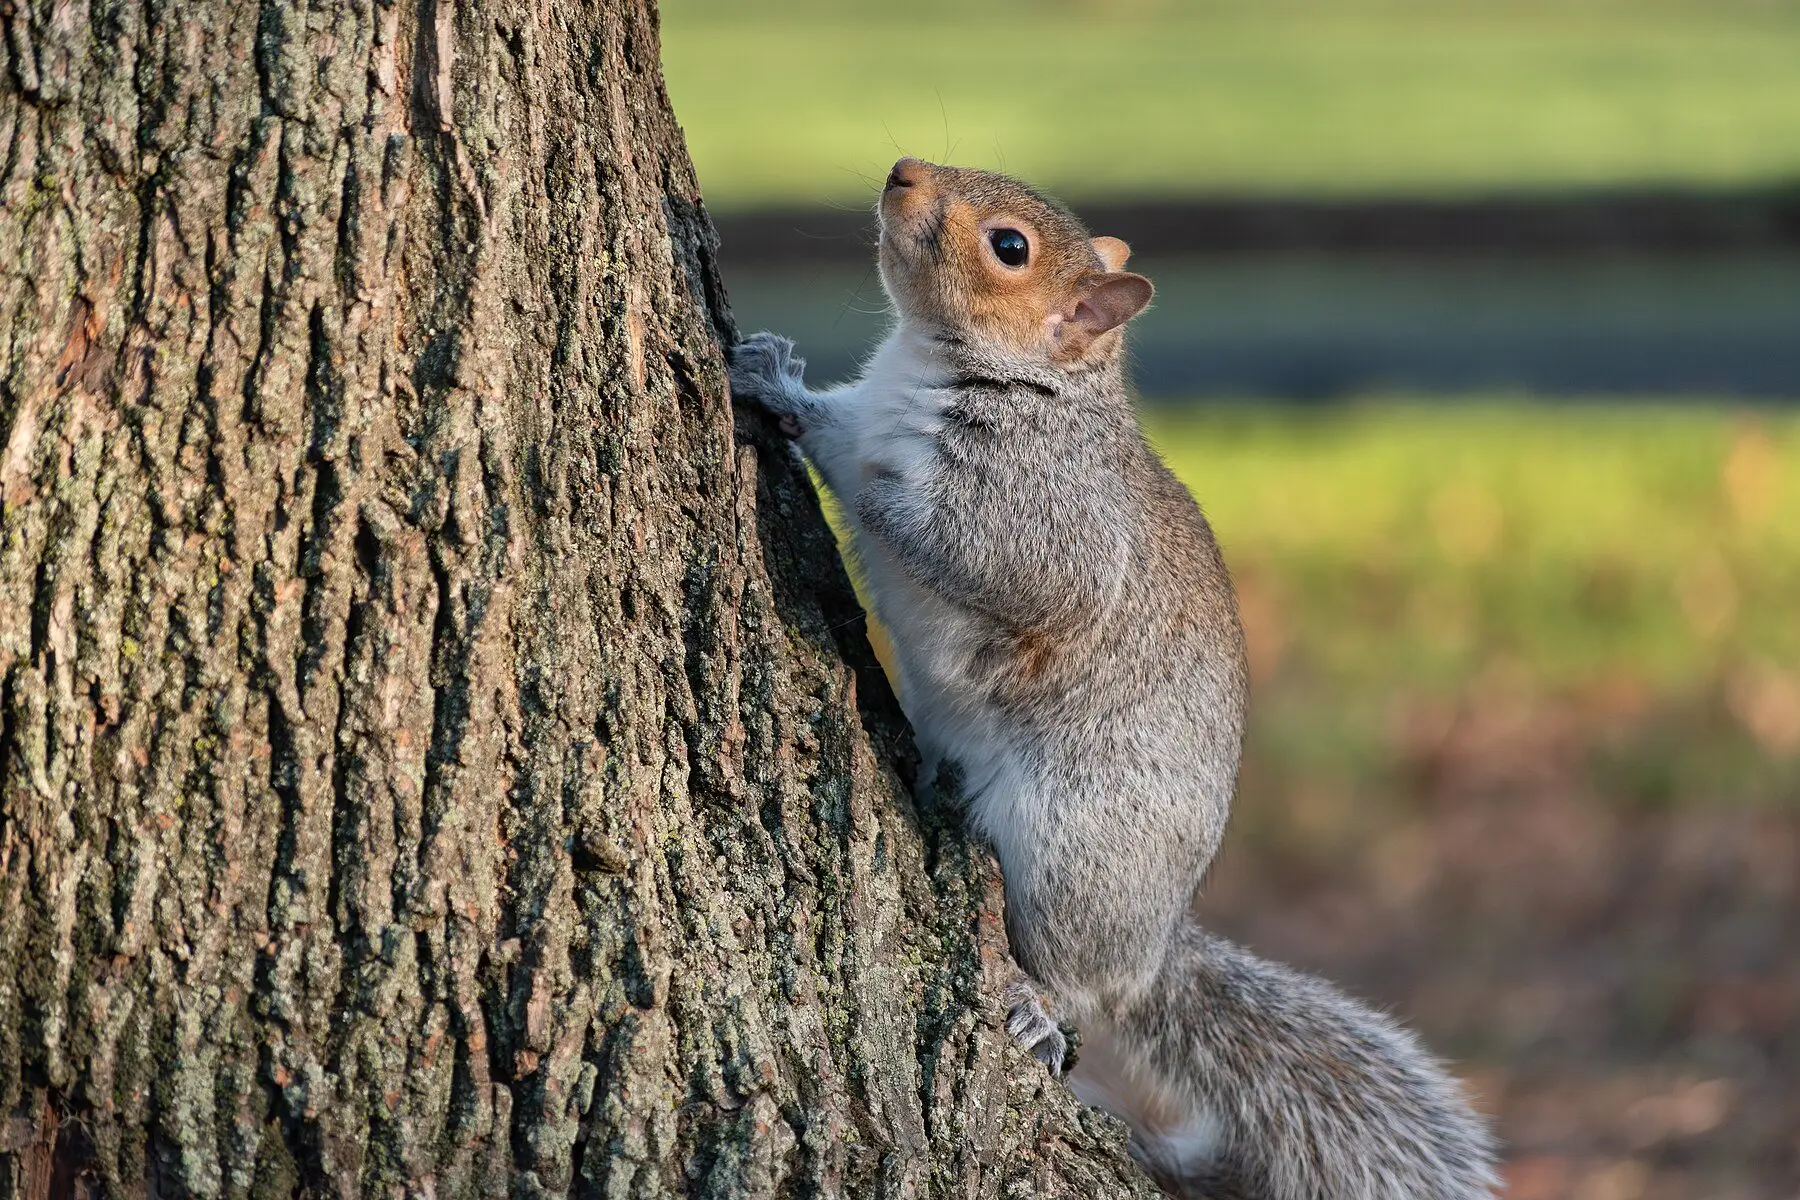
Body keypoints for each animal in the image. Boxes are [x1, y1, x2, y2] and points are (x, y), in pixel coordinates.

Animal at [728, 157, 1498, 1200]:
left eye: (1009, 246)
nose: (902, 170)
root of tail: (1154, 942)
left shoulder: (1044, 521)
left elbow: (943, 530)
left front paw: (841, 459)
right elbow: (840, 423)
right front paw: (771, 369)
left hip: (1072, 852)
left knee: (1078, 977)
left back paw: (1037, 1002)